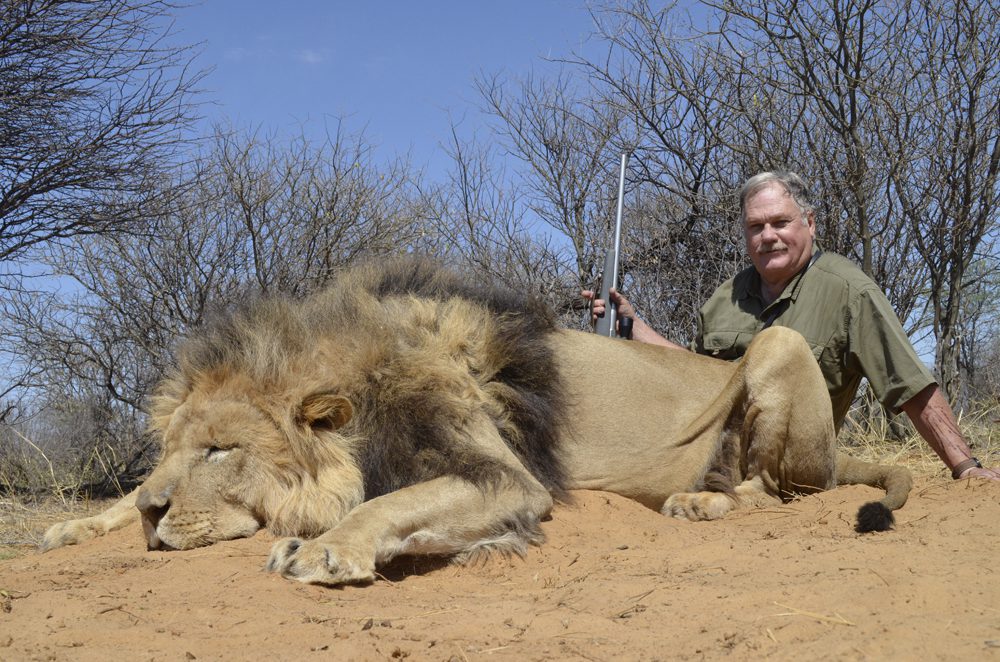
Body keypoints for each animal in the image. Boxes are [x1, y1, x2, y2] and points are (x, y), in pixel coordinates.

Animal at [41, 257, 911, 586]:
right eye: (169, 451)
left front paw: (326, 548)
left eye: (222, 451)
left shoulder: (509, 478)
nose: (154, 510)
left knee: (789, 489)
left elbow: (394, 503)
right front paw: (79, 523)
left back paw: (701, 499)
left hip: (779, 348)